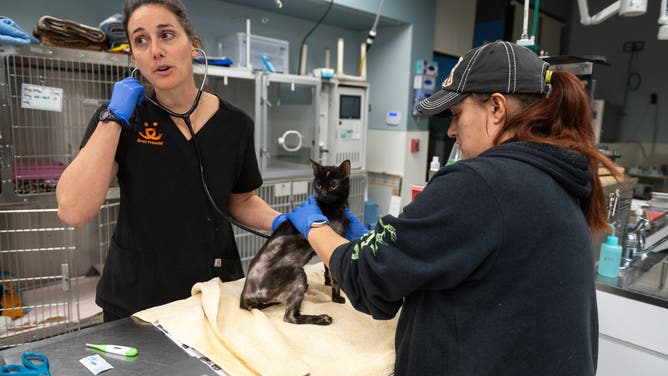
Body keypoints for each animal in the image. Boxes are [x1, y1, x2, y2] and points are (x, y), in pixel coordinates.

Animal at [241, 159, 354, 326]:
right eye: (319, 184)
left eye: (333, 186)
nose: (323, 194)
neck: (334, 206)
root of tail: (244, 296)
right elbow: (335, 277)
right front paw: (337, 297)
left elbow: (328, 269)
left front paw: (327, 282)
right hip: (299, 274)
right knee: (289, 317)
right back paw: (323, 318)